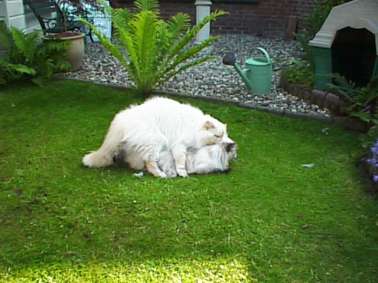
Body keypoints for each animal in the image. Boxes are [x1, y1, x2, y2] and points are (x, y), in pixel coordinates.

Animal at [82, 97, 233, 178]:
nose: (226, 142)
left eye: (223, 135)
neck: (194, 126)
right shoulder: (179, 145)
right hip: (155, 142)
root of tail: (119, 122)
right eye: (217, 136)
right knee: (150, 162)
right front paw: (182, 172)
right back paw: (160, 174)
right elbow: (180, 160)